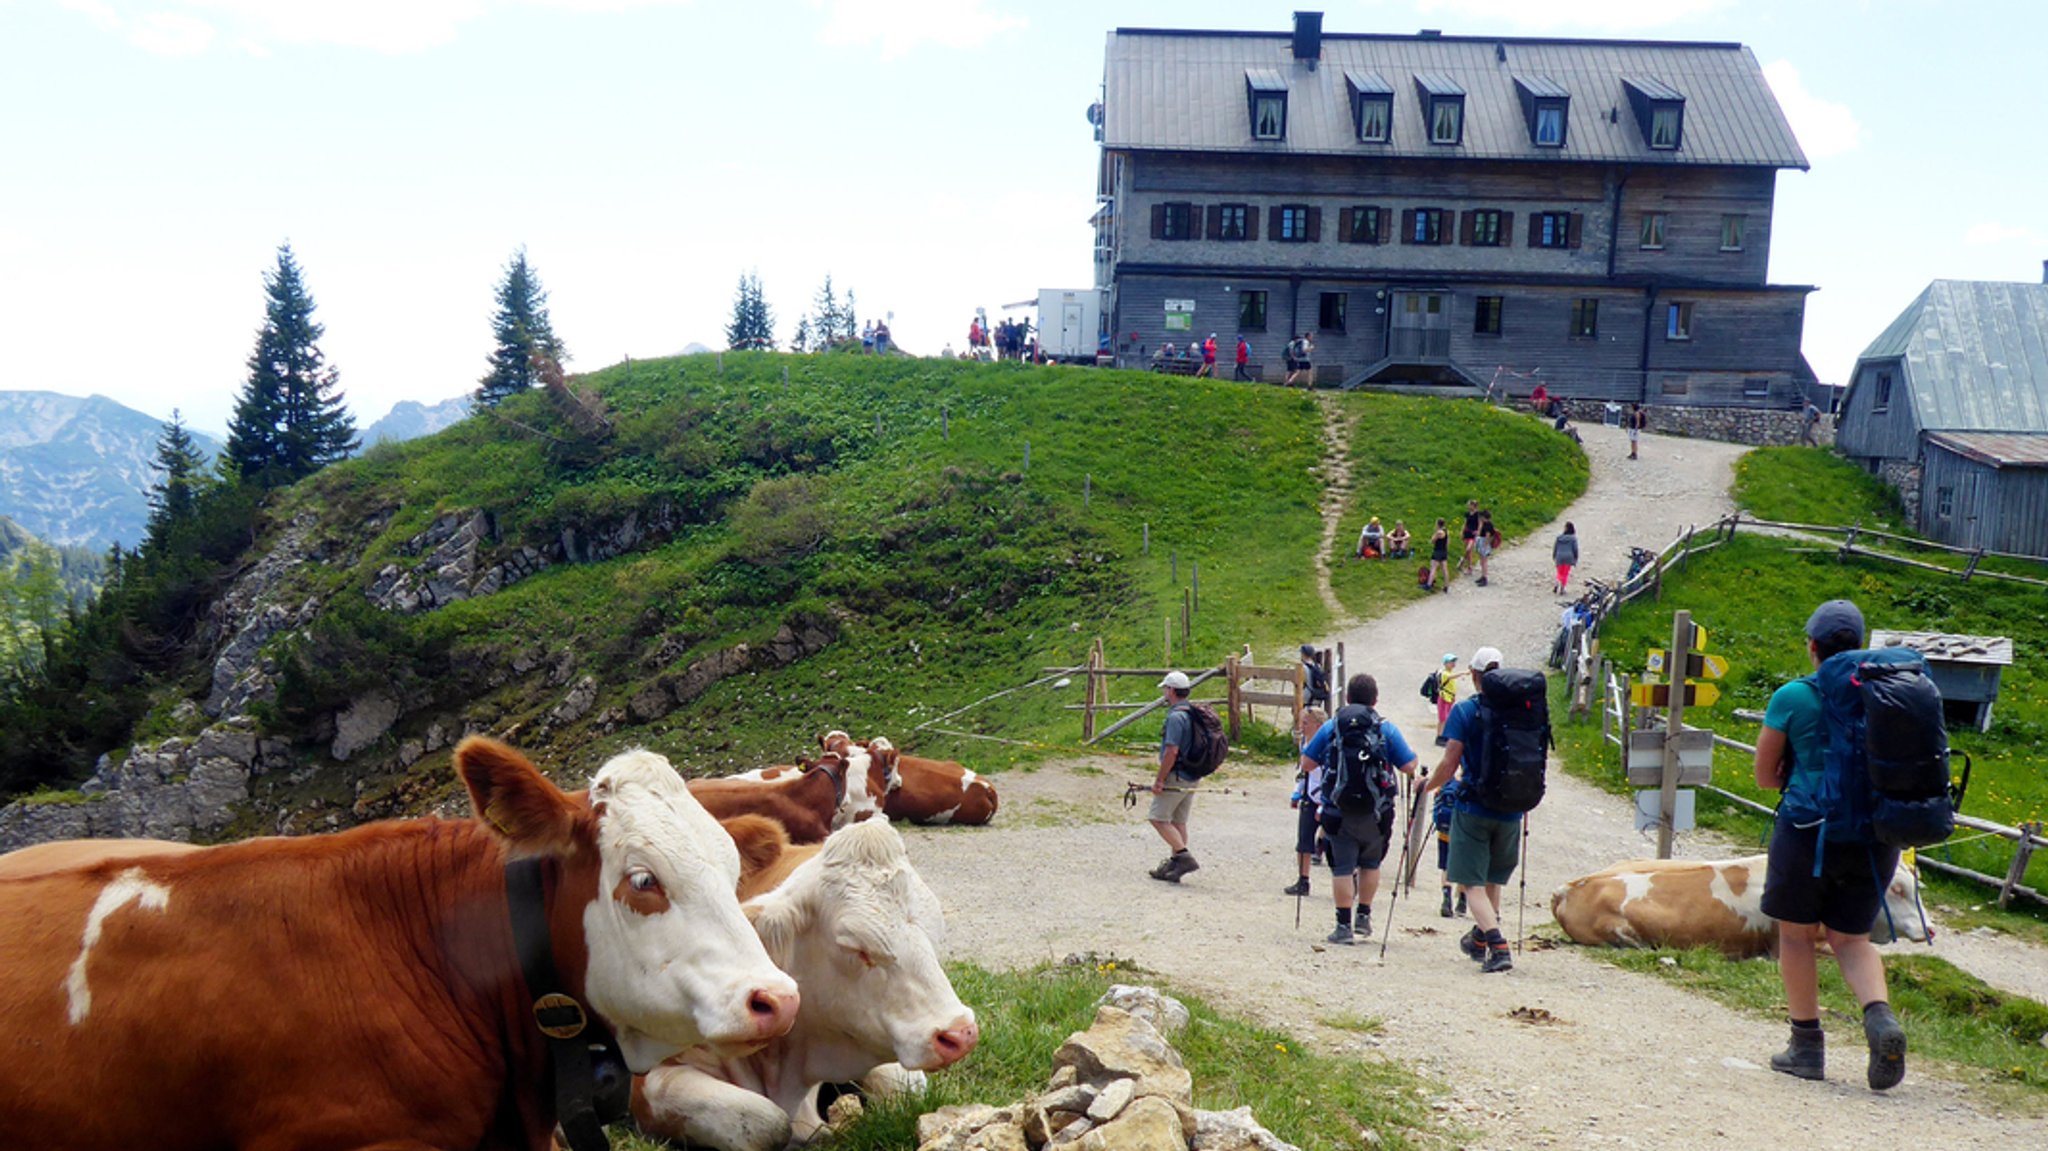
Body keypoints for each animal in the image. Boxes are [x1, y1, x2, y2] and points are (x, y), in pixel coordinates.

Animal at [634, 811, 978, 1146]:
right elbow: (766, 1122)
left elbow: (902, 1088)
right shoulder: (647, 1079)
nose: (959, 1034)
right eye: (854, 947)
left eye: (934, 931)